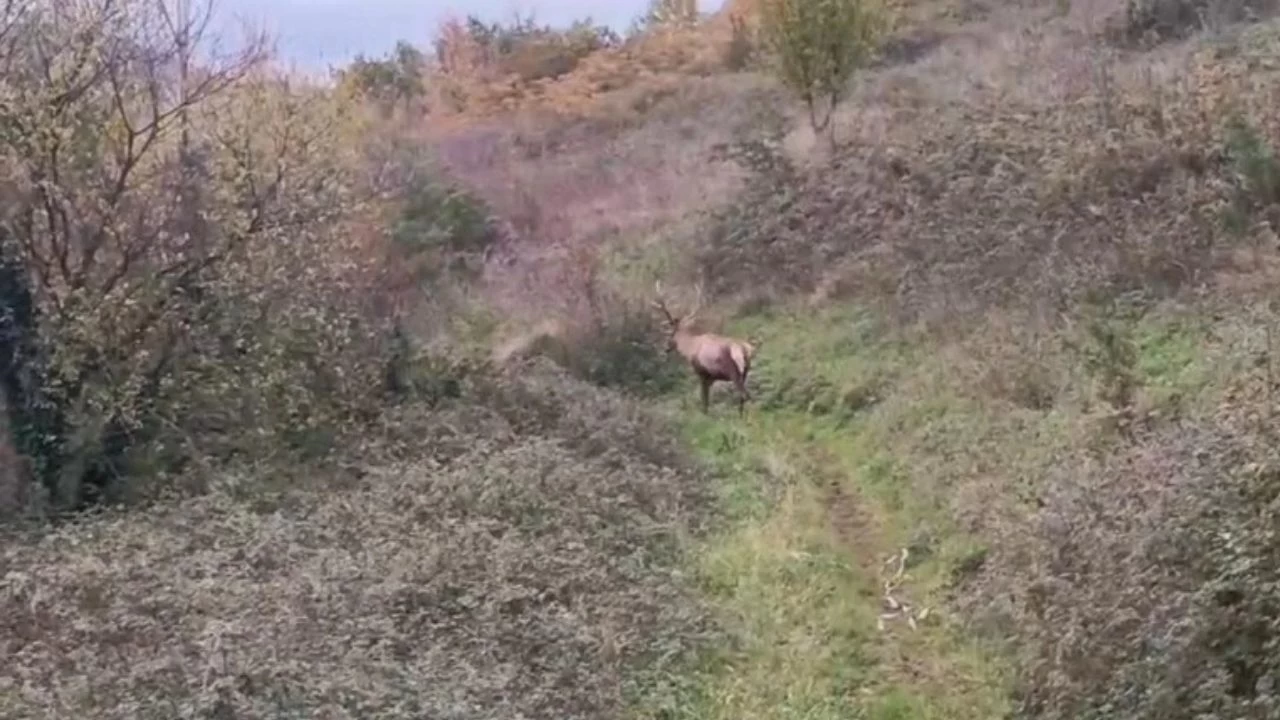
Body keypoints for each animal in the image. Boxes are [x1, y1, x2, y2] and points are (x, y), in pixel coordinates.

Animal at [655, 280, 752, 415]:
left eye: (669, 334)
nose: (665, 349)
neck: (689, 348)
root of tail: (743, 349)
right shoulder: (711, 377)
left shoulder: (702, 373)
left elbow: (704, 400)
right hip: (745, 371)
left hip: (733, 372)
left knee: (745, 395)